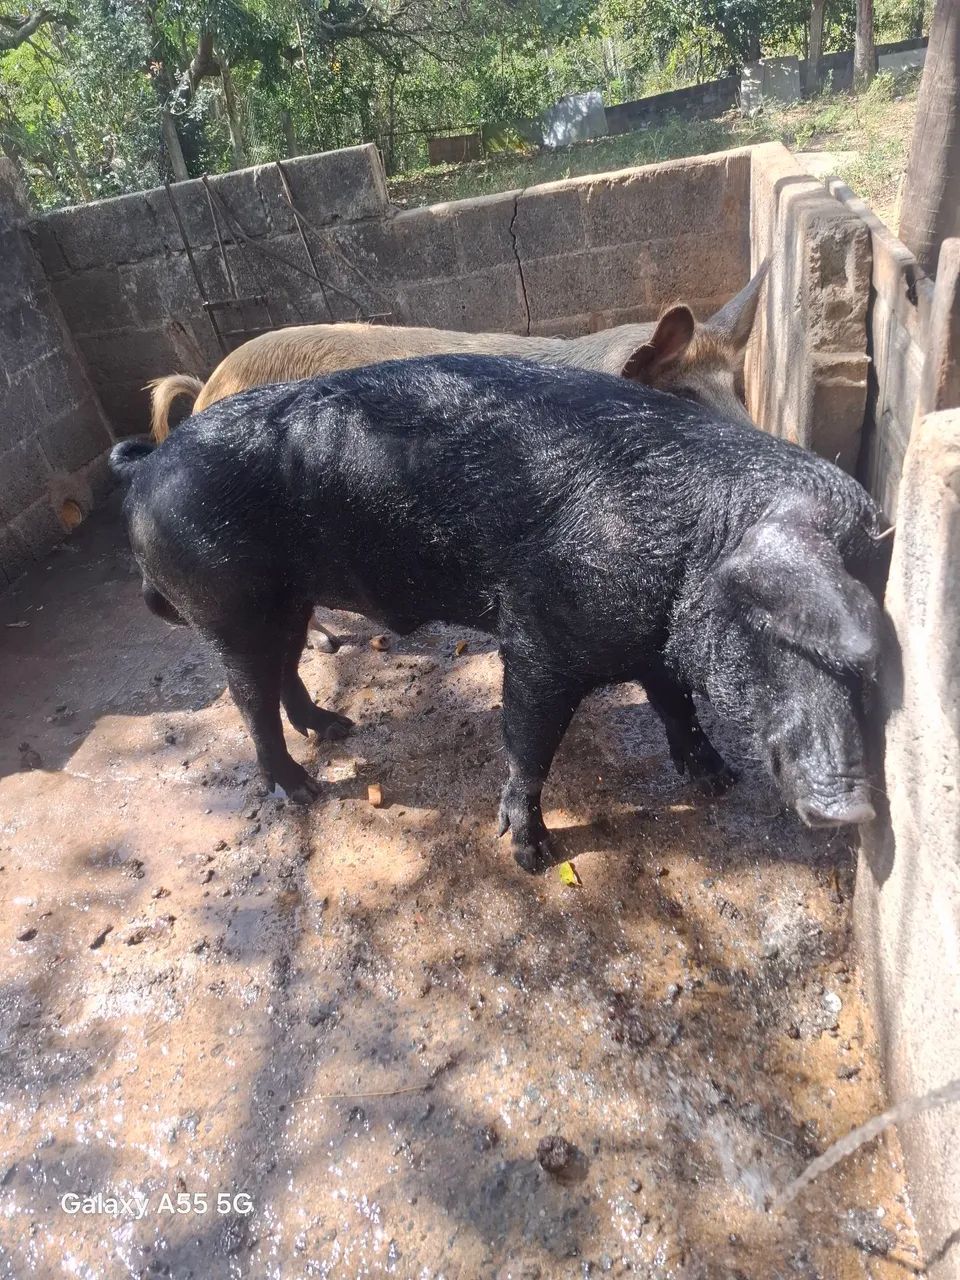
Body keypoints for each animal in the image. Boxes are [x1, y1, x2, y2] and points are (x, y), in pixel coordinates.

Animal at [112, 354, 888, 873]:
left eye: (871, 670)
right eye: (777, 628)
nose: (854, 808)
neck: (685, 551)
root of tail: (148, 470)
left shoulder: (650, 638)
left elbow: (676, 703)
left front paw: (717, 779)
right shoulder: (540, 638)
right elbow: (527, 739)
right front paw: (532, 857)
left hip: (287, 599)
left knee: (284, 668)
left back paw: (335, 728)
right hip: (225, 603)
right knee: (248, 695)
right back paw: (300, 790)